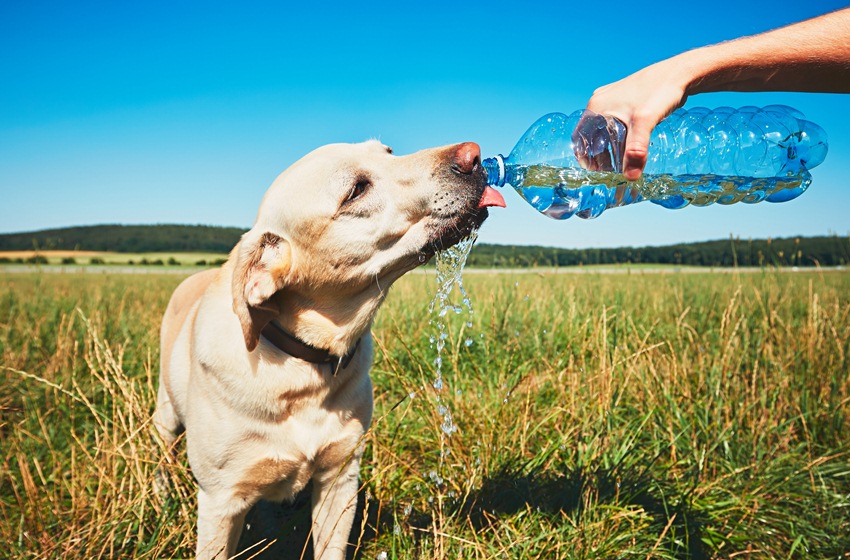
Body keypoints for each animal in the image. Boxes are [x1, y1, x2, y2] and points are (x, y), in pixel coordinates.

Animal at [153, 138, 504, 556]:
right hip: (165, 416)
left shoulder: (340, 478)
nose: (474, 154)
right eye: (356, 190)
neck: (302, 366)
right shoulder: (220, 501)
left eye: (388, 151)